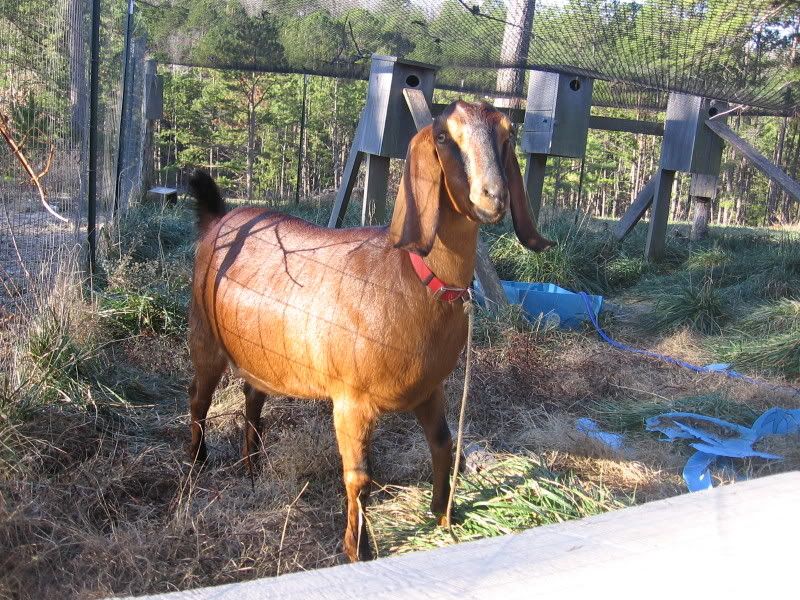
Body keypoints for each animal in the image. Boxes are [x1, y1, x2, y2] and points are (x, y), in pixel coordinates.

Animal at [187, 100, 554, 562]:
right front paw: (357, 550)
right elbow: (358, 476)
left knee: (253, 396)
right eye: (443, 136)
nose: (493, 196)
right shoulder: (351, 400)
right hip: (204, 336)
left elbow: (443, 444)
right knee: (198, 400)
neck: (410, 278)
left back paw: (253, 466)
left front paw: (444, 516)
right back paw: (196, 466)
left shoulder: (429, 389)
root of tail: (218, 218)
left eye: (508, 133)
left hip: (261, 351)